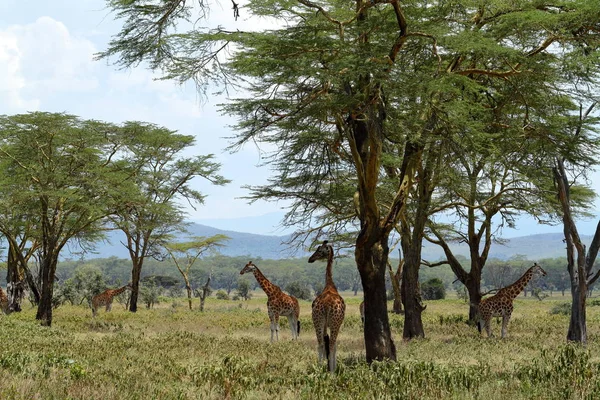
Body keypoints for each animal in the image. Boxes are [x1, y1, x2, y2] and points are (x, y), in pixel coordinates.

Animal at [310, 241, 346, 376]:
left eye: (320, 250)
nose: (310, 259)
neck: (329, 284)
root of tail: (326, 305)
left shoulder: (325, 325)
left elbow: (325, 342)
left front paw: (327, 367)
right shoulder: (335, 323)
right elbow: (333, 345)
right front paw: (332, 369)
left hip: (317, 320)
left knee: (320, 343)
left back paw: (319, 370)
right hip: (334, 322)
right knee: (331, 344)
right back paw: (331, 373)